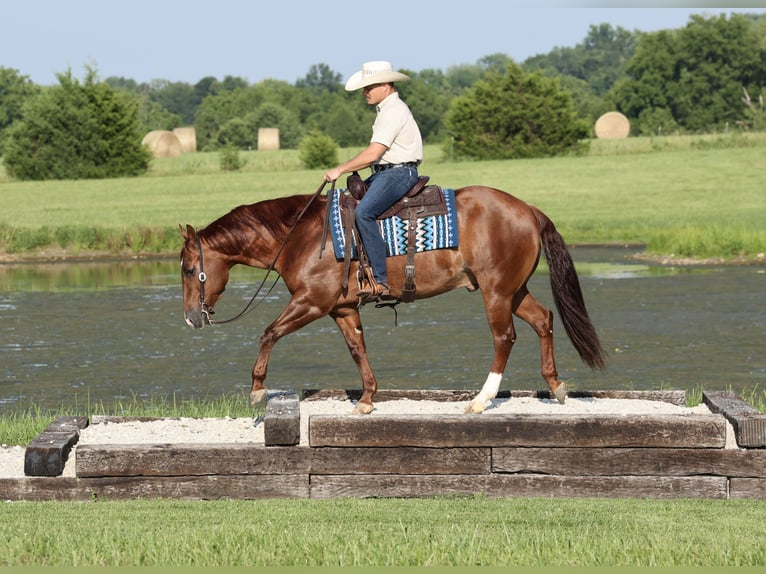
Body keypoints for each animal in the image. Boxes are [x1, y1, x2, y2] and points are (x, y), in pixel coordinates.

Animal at [180, 185, 607, 415]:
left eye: (188, 269)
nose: (190, 318)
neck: (301, 235)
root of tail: (528, 210)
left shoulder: (312, 302)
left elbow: (269, 333)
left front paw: (257, 389)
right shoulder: (341, 309)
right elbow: (358, 349)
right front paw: (368, 398)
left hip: (496, 292)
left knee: (505, 338)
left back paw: (481, 400)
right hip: (513, 290)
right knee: (544, 320)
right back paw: (556, 386)